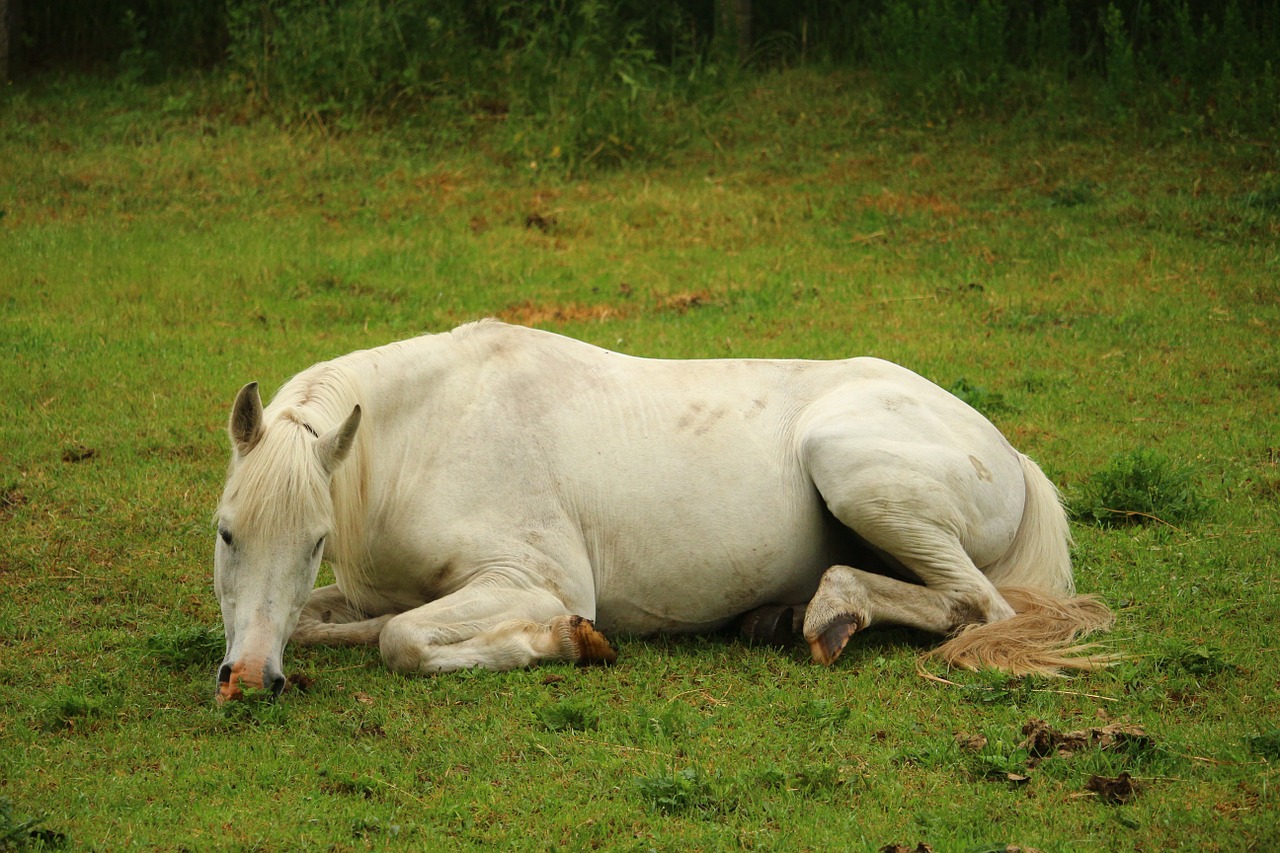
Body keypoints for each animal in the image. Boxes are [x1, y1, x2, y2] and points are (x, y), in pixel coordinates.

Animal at [215, 318, 1116, 696]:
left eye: (313, 540)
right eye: (227, 534)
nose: (248, 678)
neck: (429, 435)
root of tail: (1010, 454)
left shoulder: (536, 578)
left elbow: (399, 639)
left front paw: (567, 640)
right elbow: (339, 621)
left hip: (854, 469)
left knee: (979, 606)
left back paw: (832, 611)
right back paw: (788, 616)